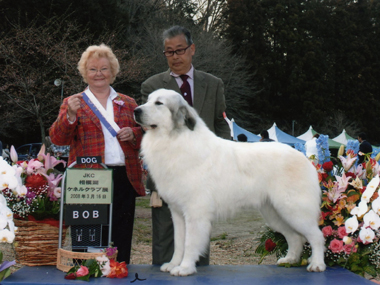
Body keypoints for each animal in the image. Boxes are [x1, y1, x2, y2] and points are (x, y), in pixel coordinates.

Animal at [133, 88, 324, 276]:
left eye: (159, 103)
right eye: (147, 100)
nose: (136, 111)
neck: (174, 138)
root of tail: (303, 157)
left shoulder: (195, 211)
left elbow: (189, 243)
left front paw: (185, 268)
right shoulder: (177, 212)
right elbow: (179, 242)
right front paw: (173, 264)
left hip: (294, 209)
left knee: (316, 236)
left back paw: (317, 264)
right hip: (275, 213)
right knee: (295, 237)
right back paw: (290, 259)